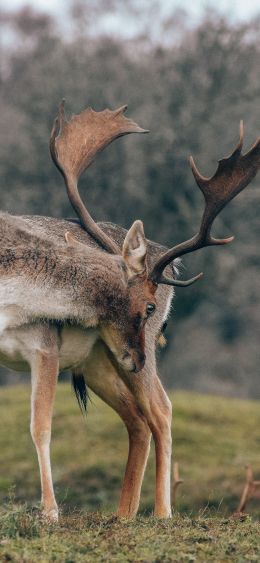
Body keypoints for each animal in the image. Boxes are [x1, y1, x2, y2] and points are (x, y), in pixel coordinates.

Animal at [0, 99, 258, 524]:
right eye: (146, 305)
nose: (136, 359)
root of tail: (169, 263)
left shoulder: (45, 347)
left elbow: (41, 426)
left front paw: (51, 513)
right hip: (99, 362)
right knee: (137, 420)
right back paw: (123, 515)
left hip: (122, 358)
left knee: (161, 410)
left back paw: (162, 514)